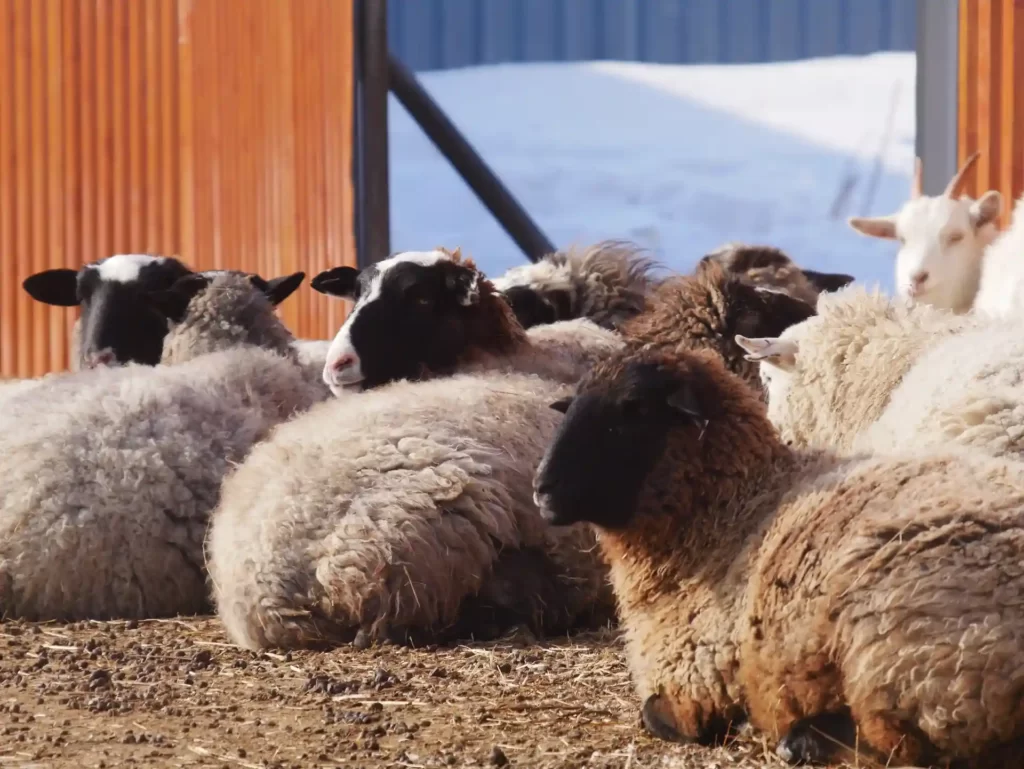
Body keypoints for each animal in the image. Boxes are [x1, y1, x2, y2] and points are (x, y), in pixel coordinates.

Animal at [532, 344, 1024, 768]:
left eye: (634, 407)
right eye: (571, 405)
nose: (541, 488)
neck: (735, 512)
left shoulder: (698, 677)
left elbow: (655, 715)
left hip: (904, 651)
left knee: (903, 745)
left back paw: (799, 738)